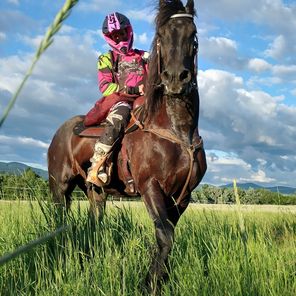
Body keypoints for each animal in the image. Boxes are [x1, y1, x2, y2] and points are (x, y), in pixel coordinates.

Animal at [47, 0, 207, 288]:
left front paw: (160, 280)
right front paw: (149, 284)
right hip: (59, 187)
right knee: (59, 220)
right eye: (161, 36)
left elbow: (167, 236)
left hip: (95, 193)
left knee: (94, 223)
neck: (177, 131)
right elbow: (165, 236)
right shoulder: (150, 187)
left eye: (193, 35)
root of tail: (60, 131)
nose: (175, 78)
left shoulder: (183, 195)